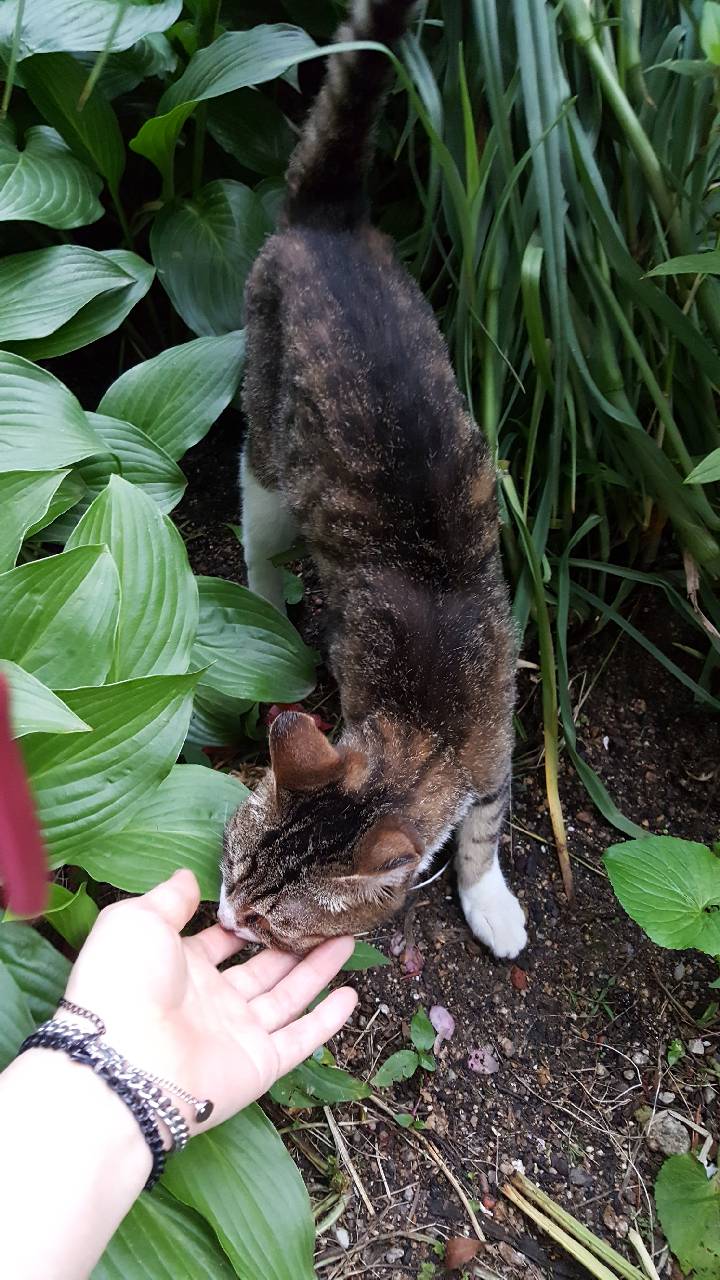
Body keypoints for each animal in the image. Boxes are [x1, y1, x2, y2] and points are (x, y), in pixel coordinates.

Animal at [218, 0, 527, 961]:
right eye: (235, 866)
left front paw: (489, 899)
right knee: (256, 520)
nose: (225, 918)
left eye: (273, 916)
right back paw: (264, 606)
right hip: (272, 452)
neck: (427, 725)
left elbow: (483, 831)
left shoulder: (498, 747)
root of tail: (329, 220)